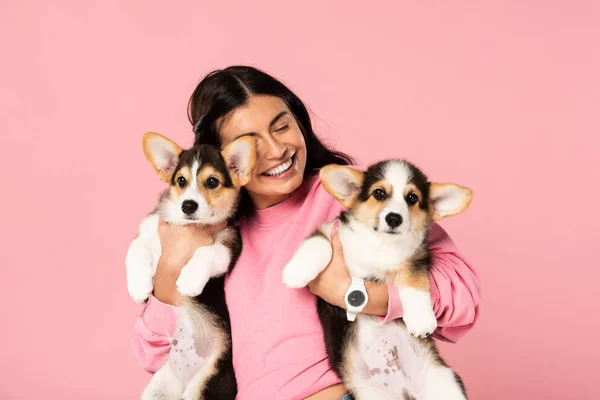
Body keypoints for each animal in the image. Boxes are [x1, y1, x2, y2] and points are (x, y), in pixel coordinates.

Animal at [125, 132, 256, 400]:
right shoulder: (147, 231)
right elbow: (136, 250)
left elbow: (206, 252)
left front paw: (188, 280)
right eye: (181, 181)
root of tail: (184, 384)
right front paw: (138, 287)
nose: (188, 205)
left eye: (213, 182)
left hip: (207, 384)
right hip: (157, 388)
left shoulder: (228, 246)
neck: (189, 228)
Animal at [282, 159, 474, 400]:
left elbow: (415, 283)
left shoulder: (417, 259)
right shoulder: (330, 230)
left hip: (443, 380)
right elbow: (320, 244)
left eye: (412, 198)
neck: (379, 244)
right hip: (371, 395)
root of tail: (404, 390)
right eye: (379, 193)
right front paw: (296, 272)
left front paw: (421, 320)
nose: (394, 218)